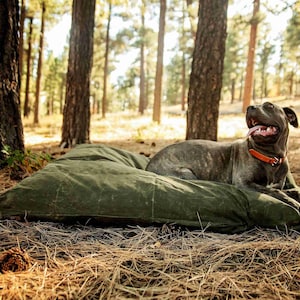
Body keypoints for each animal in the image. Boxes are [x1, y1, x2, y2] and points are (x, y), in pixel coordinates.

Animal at [147, 102, 300, 210]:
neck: (270, 157)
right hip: (186, 173)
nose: (249, 107)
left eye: (269, 106)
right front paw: (294, 202)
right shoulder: (244, 183)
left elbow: (290, 190)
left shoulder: (278, 184)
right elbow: (275, 191)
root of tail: (148, 165)